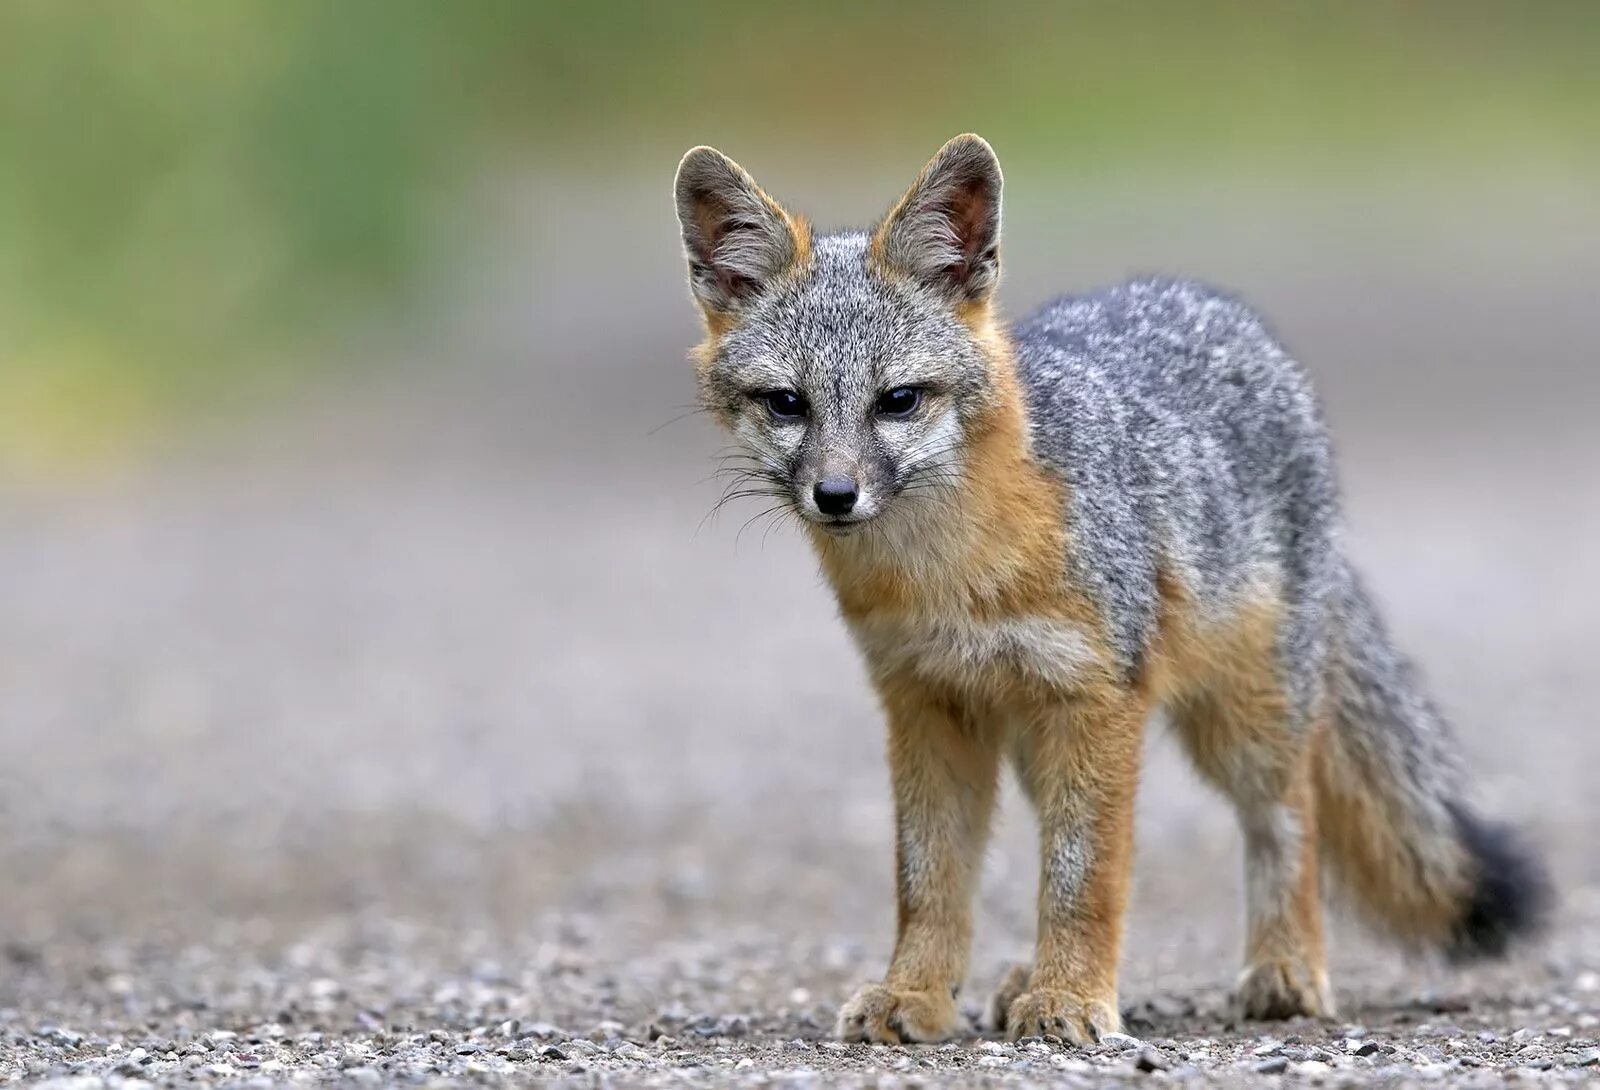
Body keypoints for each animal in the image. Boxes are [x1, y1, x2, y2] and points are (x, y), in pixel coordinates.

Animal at [668, 132, 1542, 1043]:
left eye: (898, 401)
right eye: (787, 404)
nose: (835, 495)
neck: (953, 577)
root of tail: (1206, 302)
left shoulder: (1096, 701)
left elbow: (1083, 877)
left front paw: (1072, 998)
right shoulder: (926, 706)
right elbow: (927, 881)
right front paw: (916, 994)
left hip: (1242, 723)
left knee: (1287, 821)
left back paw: (1286, 971)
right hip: (1034, 738)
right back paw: (1022, 977)